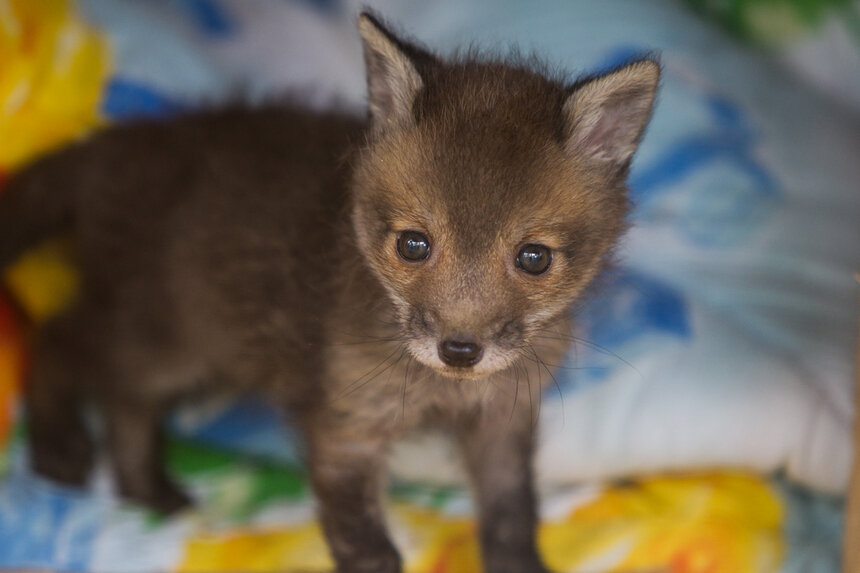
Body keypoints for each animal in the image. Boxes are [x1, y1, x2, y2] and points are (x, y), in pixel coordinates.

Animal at [0, 12, 660, 572]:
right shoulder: (344, 423)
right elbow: (366, 545)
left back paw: (147, 491)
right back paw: (58, 451)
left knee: (123, 398)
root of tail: (116, 143)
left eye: (533, 258)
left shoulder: (502, 419)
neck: (438, 390)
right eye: (414, 244)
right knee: (62, 341)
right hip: (161, 336)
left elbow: (509, 514)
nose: (459, 351)